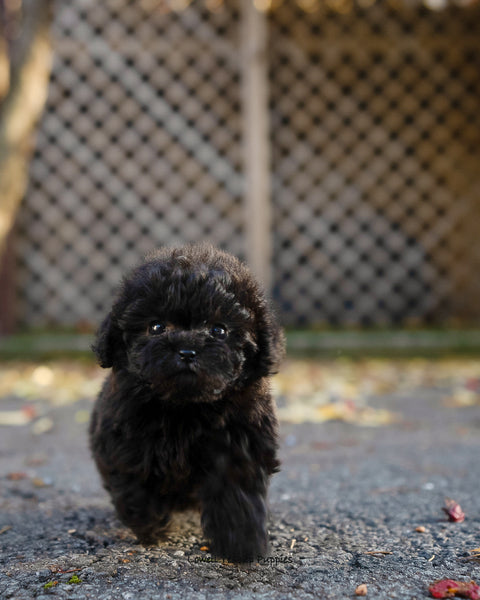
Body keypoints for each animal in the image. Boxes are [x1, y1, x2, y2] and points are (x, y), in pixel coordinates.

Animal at [89, 243, 284, 564]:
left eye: (219, 330)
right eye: (156, 327)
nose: (187, 350)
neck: (186, 406)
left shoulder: (241, 440)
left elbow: (236, 488)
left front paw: (241, 543)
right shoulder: (126, 442)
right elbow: (136, 483)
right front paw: (150, 525)